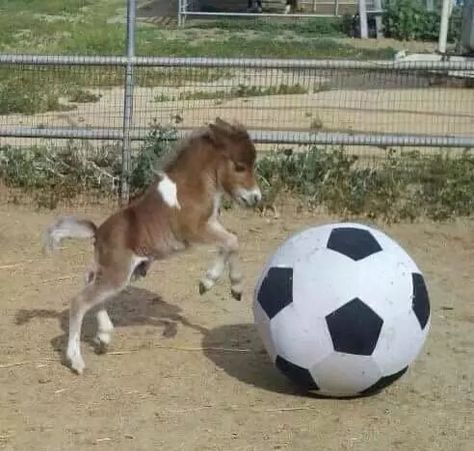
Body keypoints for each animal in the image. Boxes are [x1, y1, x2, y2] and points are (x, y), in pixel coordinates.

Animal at [42, 117, 262, 374]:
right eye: (239, 166)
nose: (256, 198)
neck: (190, 188)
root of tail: (98, 233)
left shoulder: (212, 225)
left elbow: (230, 242)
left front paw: (225, 286)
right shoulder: (194, 231)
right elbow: (231, 242)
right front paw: (212, 283)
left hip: (122, 271)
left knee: (90, 283)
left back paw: (104, 336)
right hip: (118, 273)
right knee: (79, 302)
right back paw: (77, 361)